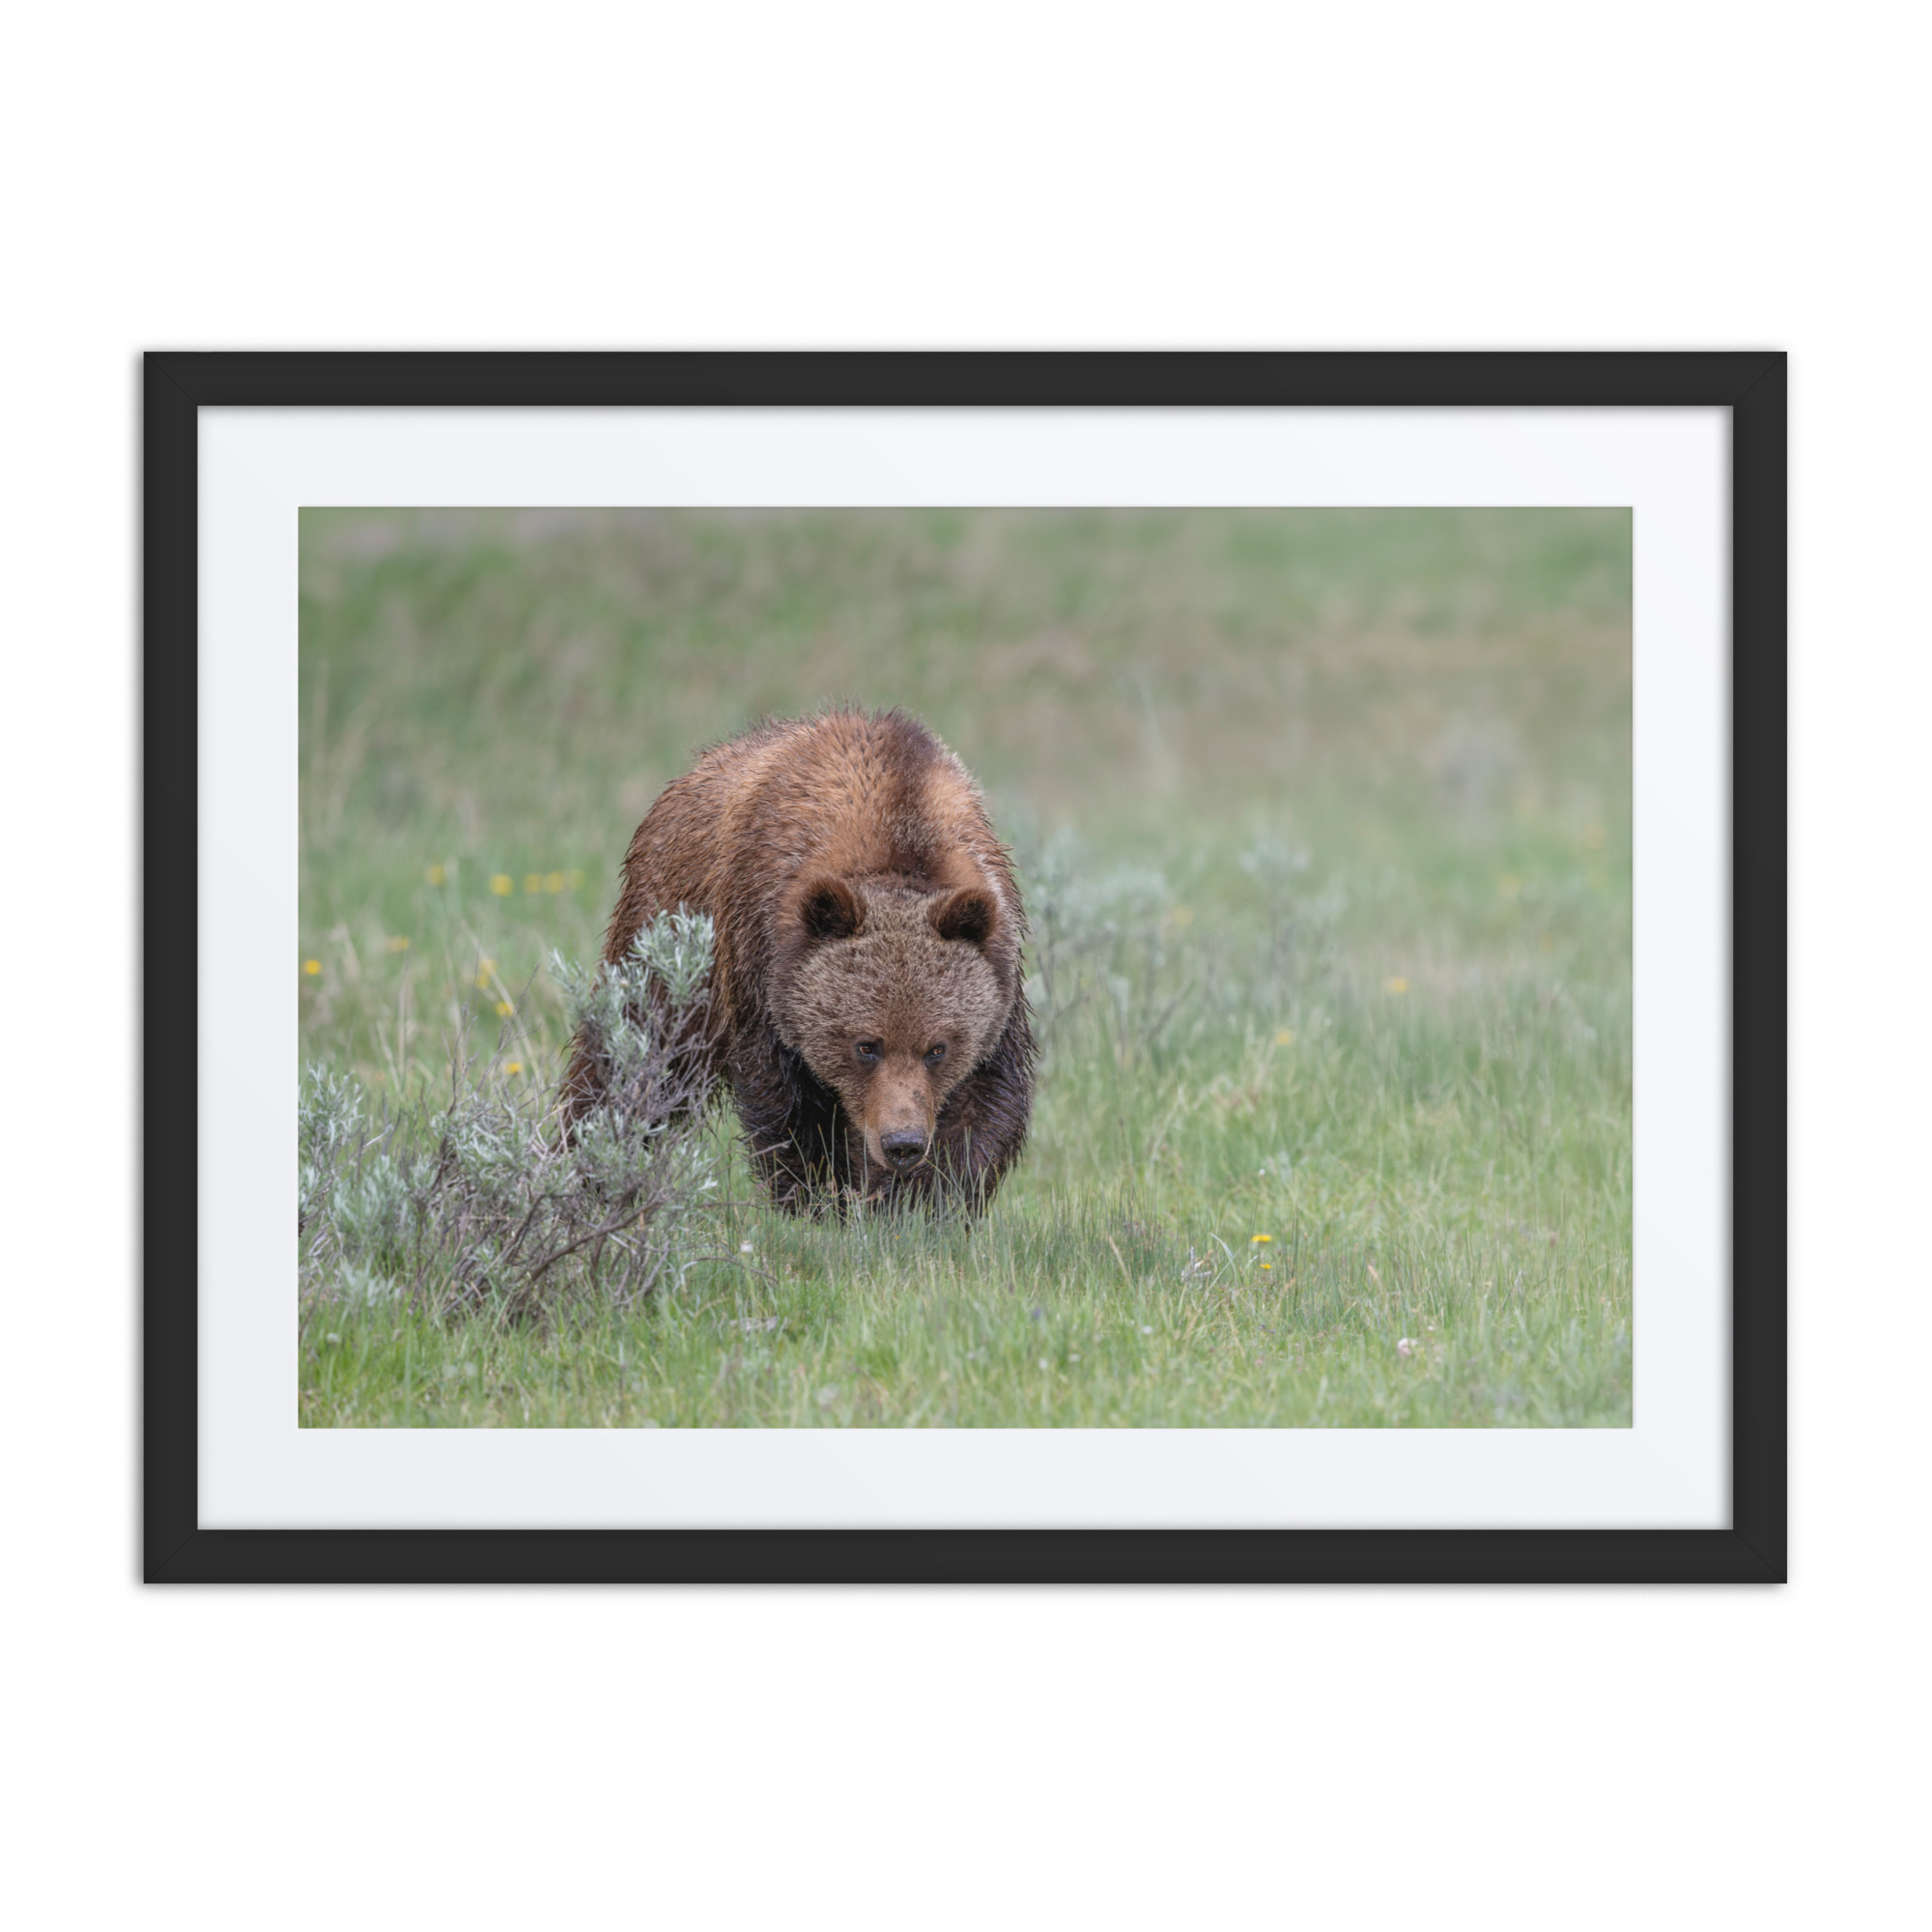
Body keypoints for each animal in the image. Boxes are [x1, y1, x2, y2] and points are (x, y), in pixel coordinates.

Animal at [563, 708, 1035, 1214]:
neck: (899, 831)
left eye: (938, 1048)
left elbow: (983, 1105)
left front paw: (920, 1203)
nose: (902, 1143)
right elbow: (788, 1106)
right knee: (632, 1055)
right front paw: (818, 1199)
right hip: (669, 937)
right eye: (866, 1045)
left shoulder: (999, 975)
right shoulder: (761, 961)